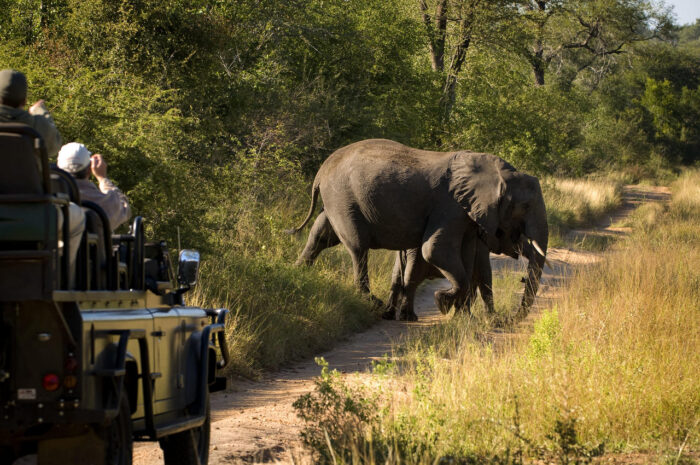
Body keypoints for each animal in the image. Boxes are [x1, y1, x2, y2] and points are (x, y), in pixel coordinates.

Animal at [288, 140, 548, 316]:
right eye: (525, 206)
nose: (510, 318)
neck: (497, 172)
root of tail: (321, 171)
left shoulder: (466, 215)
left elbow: (465, 256)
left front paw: (460, 315)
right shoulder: (451, 206)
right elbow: (434, 250)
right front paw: (442, 302)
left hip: (336, 200)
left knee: (321, 234)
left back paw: (299, 273)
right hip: (343, 198)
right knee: (357, 246)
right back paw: (373, 302)